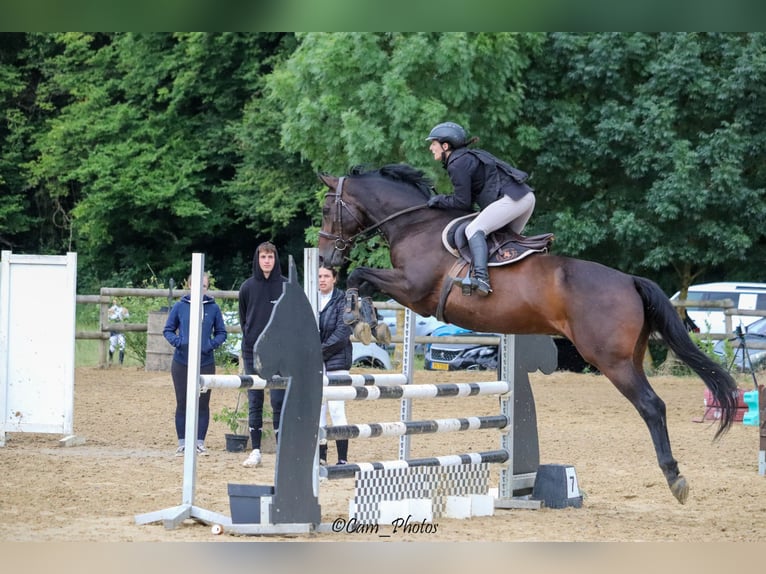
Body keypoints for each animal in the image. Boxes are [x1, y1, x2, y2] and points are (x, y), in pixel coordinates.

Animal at [316, 163, 736, 504]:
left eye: (325, 209)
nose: (323, 259)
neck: (415, 224)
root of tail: (630, 280)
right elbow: (363, 281)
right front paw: (369, 321)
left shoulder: (413, 290)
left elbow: (360, 276)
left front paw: (361, 318)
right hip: (629, 355)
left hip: (610, 360)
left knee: (651, 405)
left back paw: (675, 477)